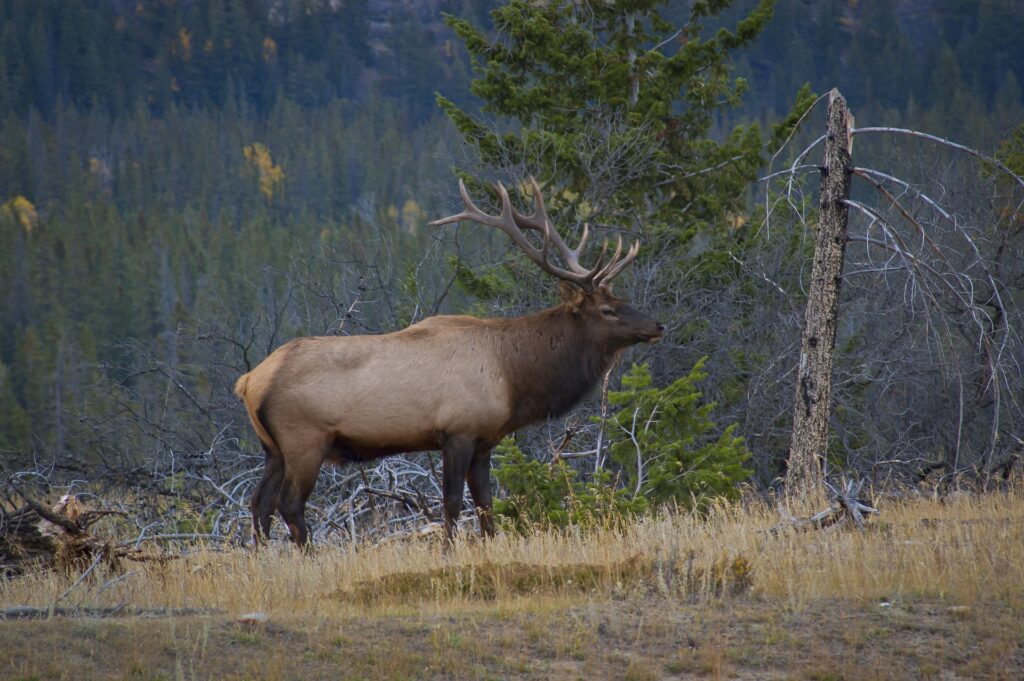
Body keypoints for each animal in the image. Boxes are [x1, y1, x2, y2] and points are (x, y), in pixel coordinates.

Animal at [233, 178, 663, 544]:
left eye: (621, 300)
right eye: (608, 310)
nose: (657, 324)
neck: (514, 379)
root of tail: (248, 382)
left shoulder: (486, 440)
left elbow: (486, 502)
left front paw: (490, 545)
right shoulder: (457, 431)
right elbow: (453, 503)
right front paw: (448, 549)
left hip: (272, 448)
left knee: (258, 504)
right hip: (305, 440)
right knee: (289, 504)